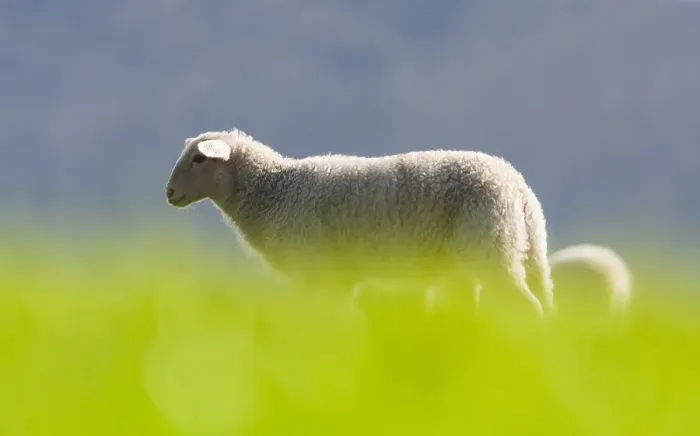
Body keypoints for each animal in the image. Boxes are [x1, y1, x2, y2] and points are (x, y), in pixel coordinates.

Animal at [164, 128, 555, 319]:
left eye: (199, 159)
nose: (168, 193)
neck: (274, 189)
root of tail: (519, 188)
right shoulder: (338, 280)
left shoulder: (314, 268)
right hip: (497, 256)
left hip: (489, 248)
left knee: (527, 307)